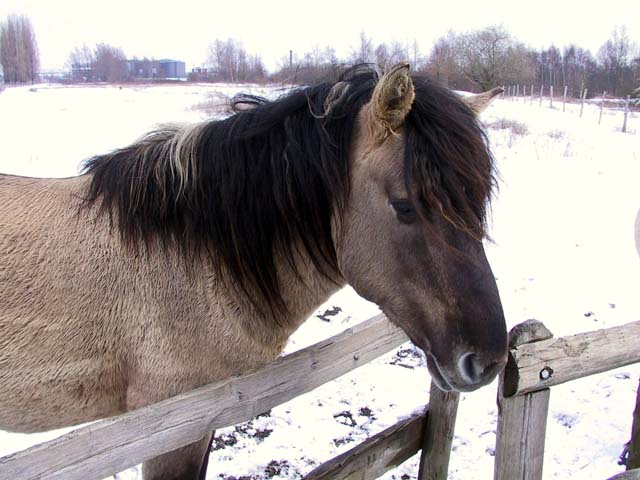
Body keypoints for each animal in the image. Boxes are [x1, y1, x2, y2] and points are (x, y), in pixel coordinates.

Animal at [0, 63, 508, 480]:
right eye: (405, 206)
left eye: (477, 202)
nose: (486, 360)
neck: (187, 259)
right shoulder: (168, 430)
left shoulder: (202, 422)